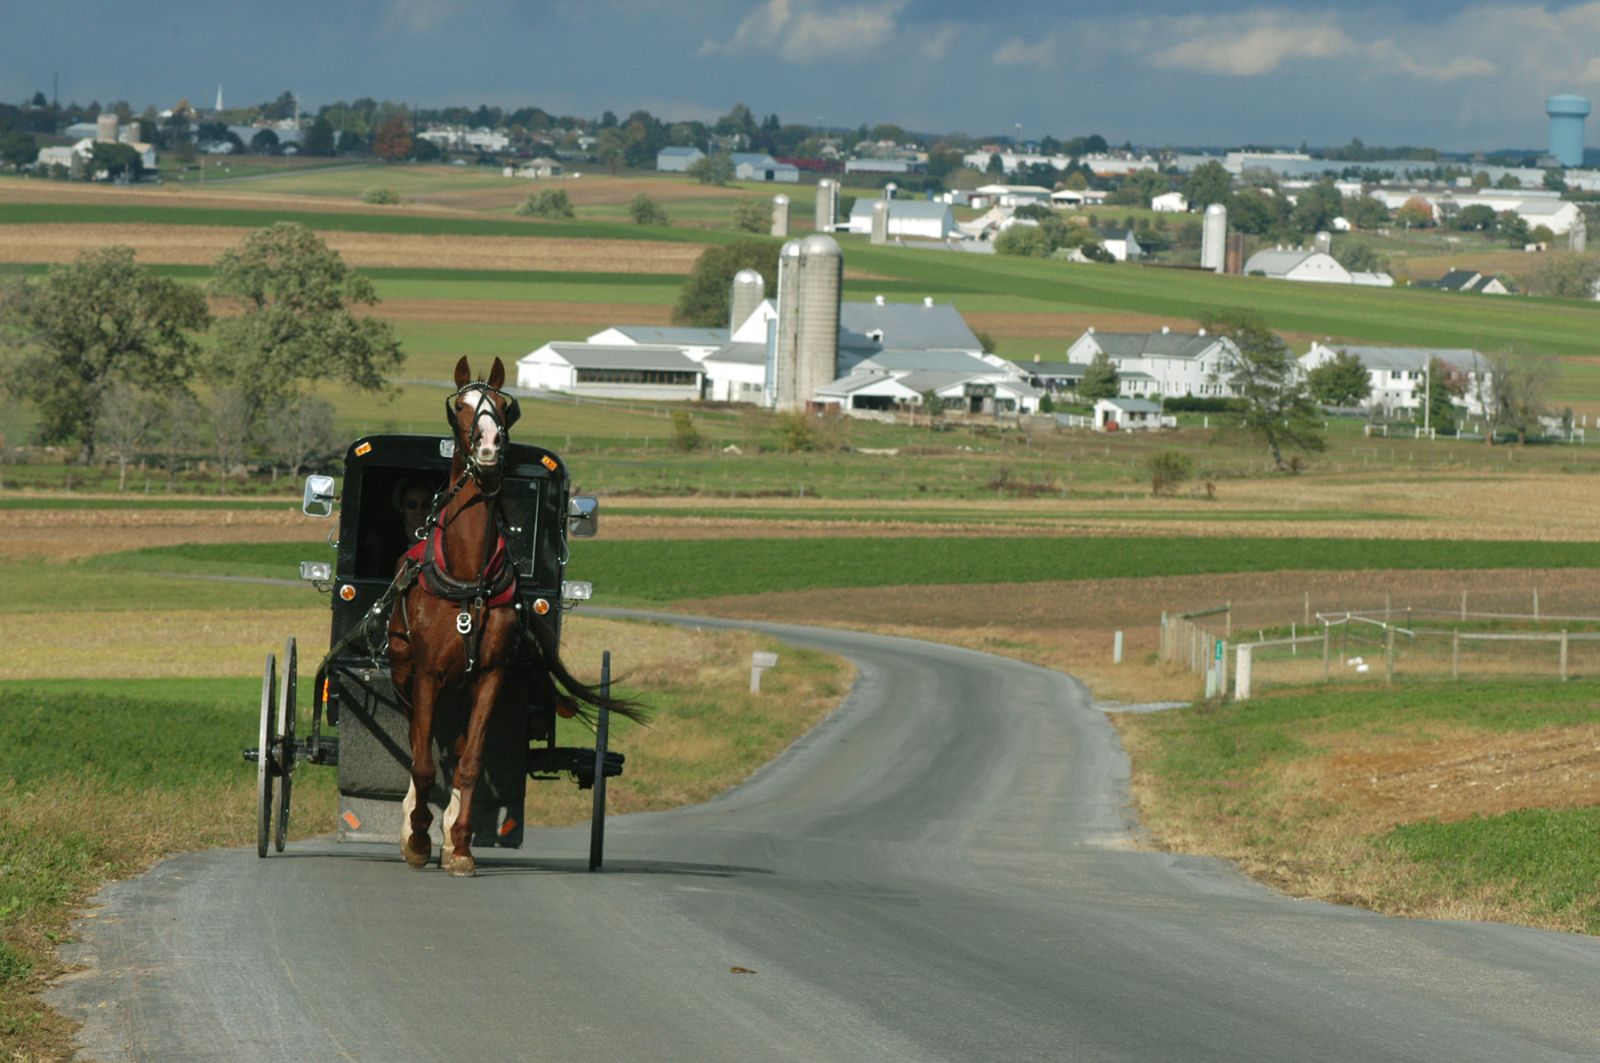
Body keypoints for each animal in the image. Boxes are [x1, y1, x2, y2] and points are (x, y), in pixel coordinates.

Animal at [384, 352, 640, 877]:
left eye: (505, 406)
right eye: (460, 406)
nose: (488, 444)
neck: (467, 577)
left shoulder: (491, 676)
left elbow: (470, 762)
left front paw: (459, 845)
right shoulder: (427, 674)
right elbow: (422, 760)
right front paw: (417, 838)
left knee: (458, 745)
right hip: (404, 671)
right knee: (420, 740)